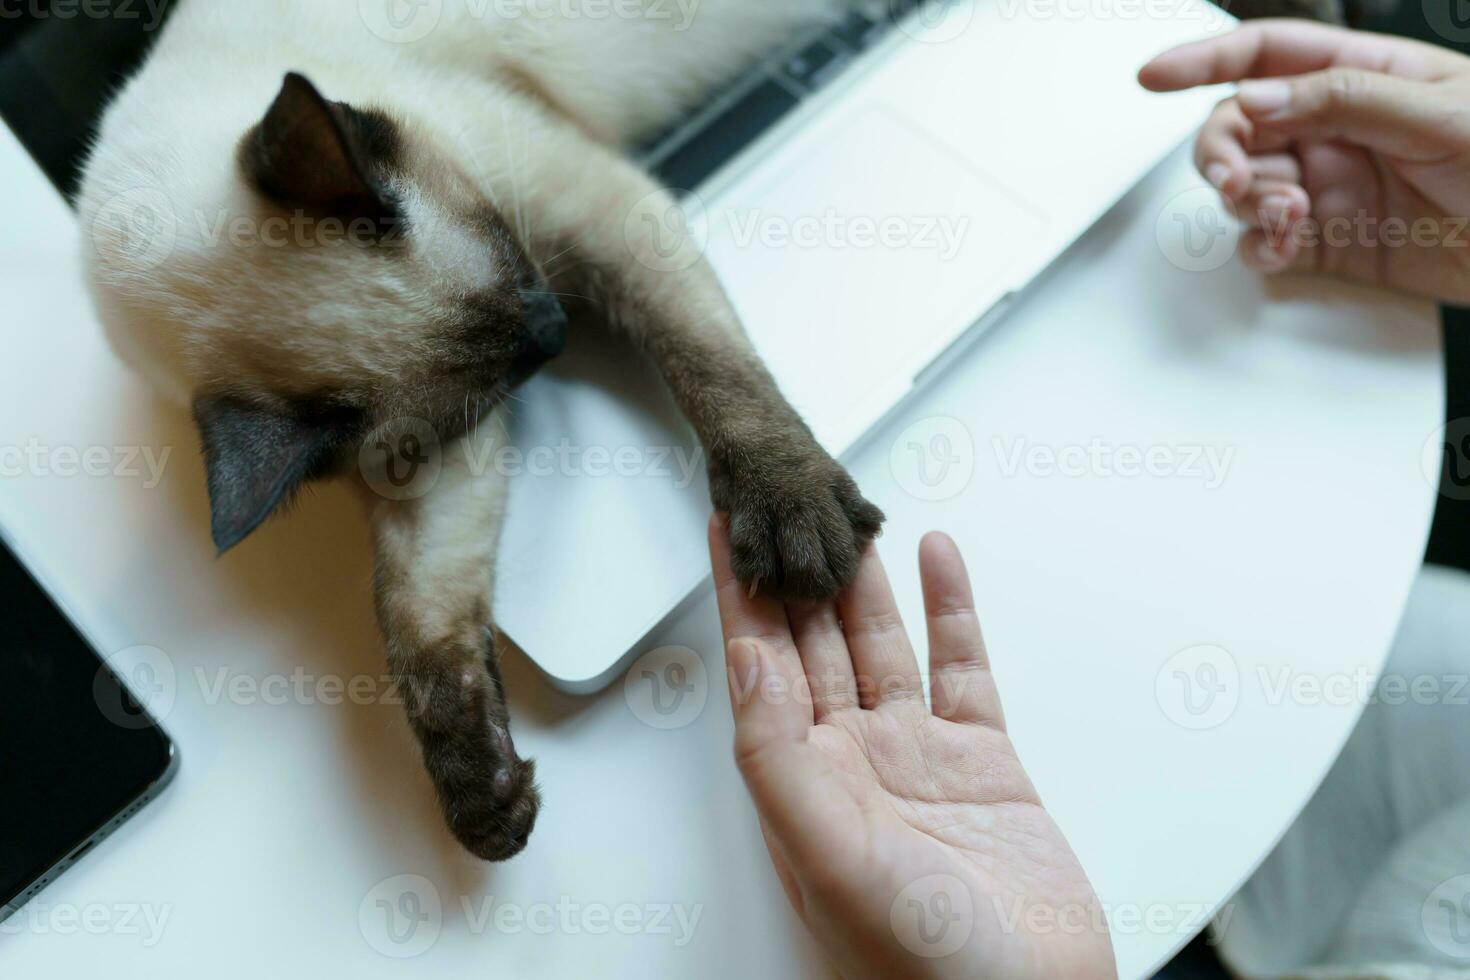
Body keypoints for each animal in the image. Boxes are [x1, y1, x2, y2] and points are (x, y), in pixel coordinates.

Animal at [77, 0, 882, 858]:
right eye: (509, 377)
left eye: (513, 254)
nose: (556, 329)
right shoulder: (436, 455)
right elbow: (419, 615)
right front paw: (483, 793)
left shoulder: (591, 209)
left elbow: (706, 364)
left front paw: (791, 513)